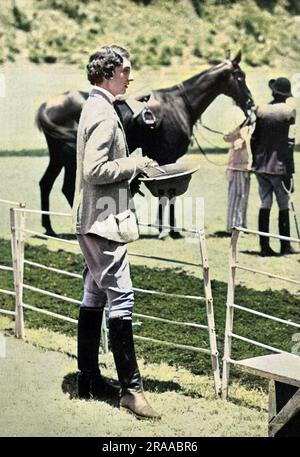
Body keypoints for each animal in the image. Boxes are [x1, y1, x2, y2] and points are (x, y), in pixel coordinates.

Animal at [36, 52, 254, 237]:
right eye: (240, 76)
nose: (250, 103)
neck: (179, 105)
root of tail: (47, 105)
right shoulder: (168, 158)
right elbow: (169, 196)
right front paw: (170, 231)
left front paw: (161, 228)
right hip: (69, 158)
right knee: (67, 188)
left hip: (58, 157)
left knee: (46, 183)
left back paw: (50, 228)